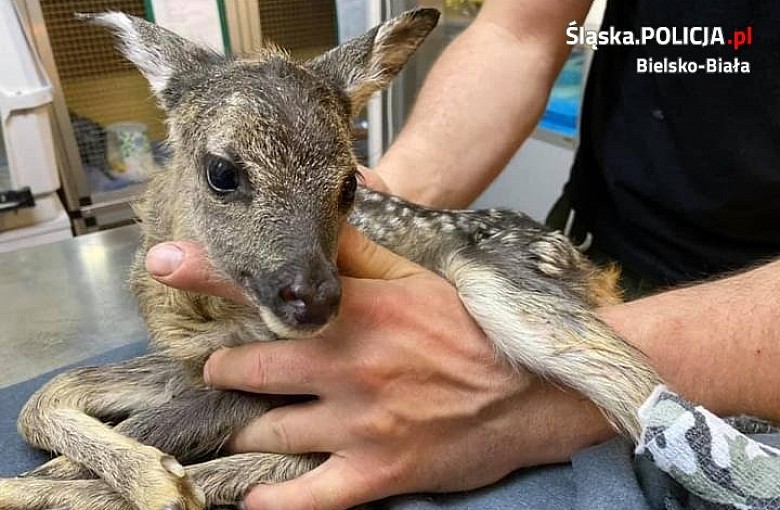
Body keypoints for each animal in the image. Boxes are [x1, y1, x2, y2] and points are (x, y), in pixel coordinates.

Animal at [0, 6, 660, 510]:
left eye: (348, 185)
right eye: (222, 172)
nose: (314, 297)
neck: (207, 314)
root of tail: (591, 269)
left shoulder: (271, 375)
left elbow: (146, 429)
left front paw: (147, 484)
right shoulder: (193, 360)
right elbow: (46, 395)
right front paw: (148, 477)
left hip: (498, 289)